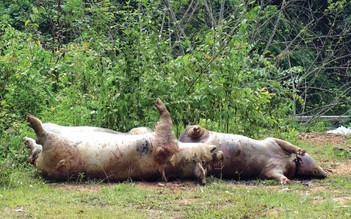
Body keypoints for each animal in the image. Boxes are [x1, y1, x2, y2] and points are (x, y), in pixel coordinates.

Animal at [180, 124, 328, 184]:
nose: (325, 173)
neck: (290, 161)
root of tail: (182, 142)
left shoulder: (269, 170)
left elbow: (275, 174)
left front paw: (285, 180)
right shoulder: (272, 141)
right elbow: (286, 143)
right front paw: (301, 151)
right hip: (195, 133)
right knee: (192, 129)